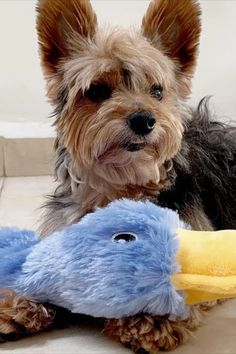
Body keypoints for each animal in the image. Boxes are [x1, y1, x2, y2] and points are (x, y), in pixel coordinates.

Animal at [0, 0, 235, 352]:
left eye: (157, 90)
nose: (144, 119)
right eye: (97, 90)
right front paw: (18, 302)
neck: (124, 182)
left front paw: (153, 316)